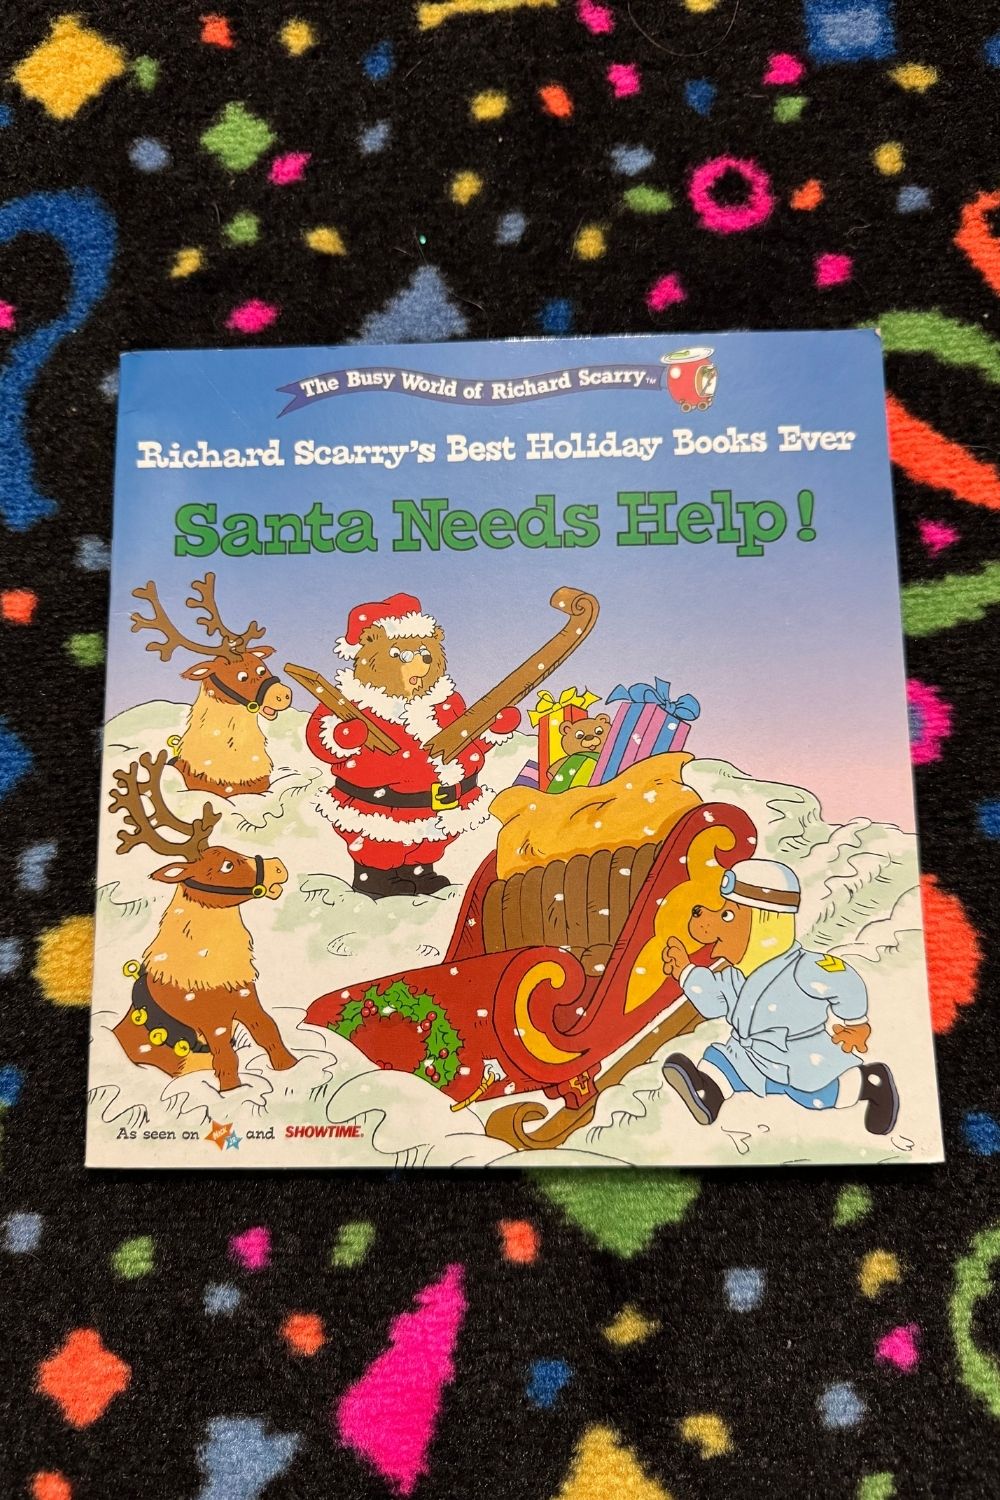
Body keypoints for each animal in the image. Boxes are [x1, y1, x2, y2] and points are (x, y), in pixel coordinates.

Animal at [109, 749, 298, 1093]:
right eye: (226, 865)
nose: (278, 866)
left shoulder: (247, 999)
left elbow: (269, 1030)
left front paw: (289, 1067)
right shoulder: (212, 1018)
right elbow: (226, 1056)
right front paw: (231, 1092)